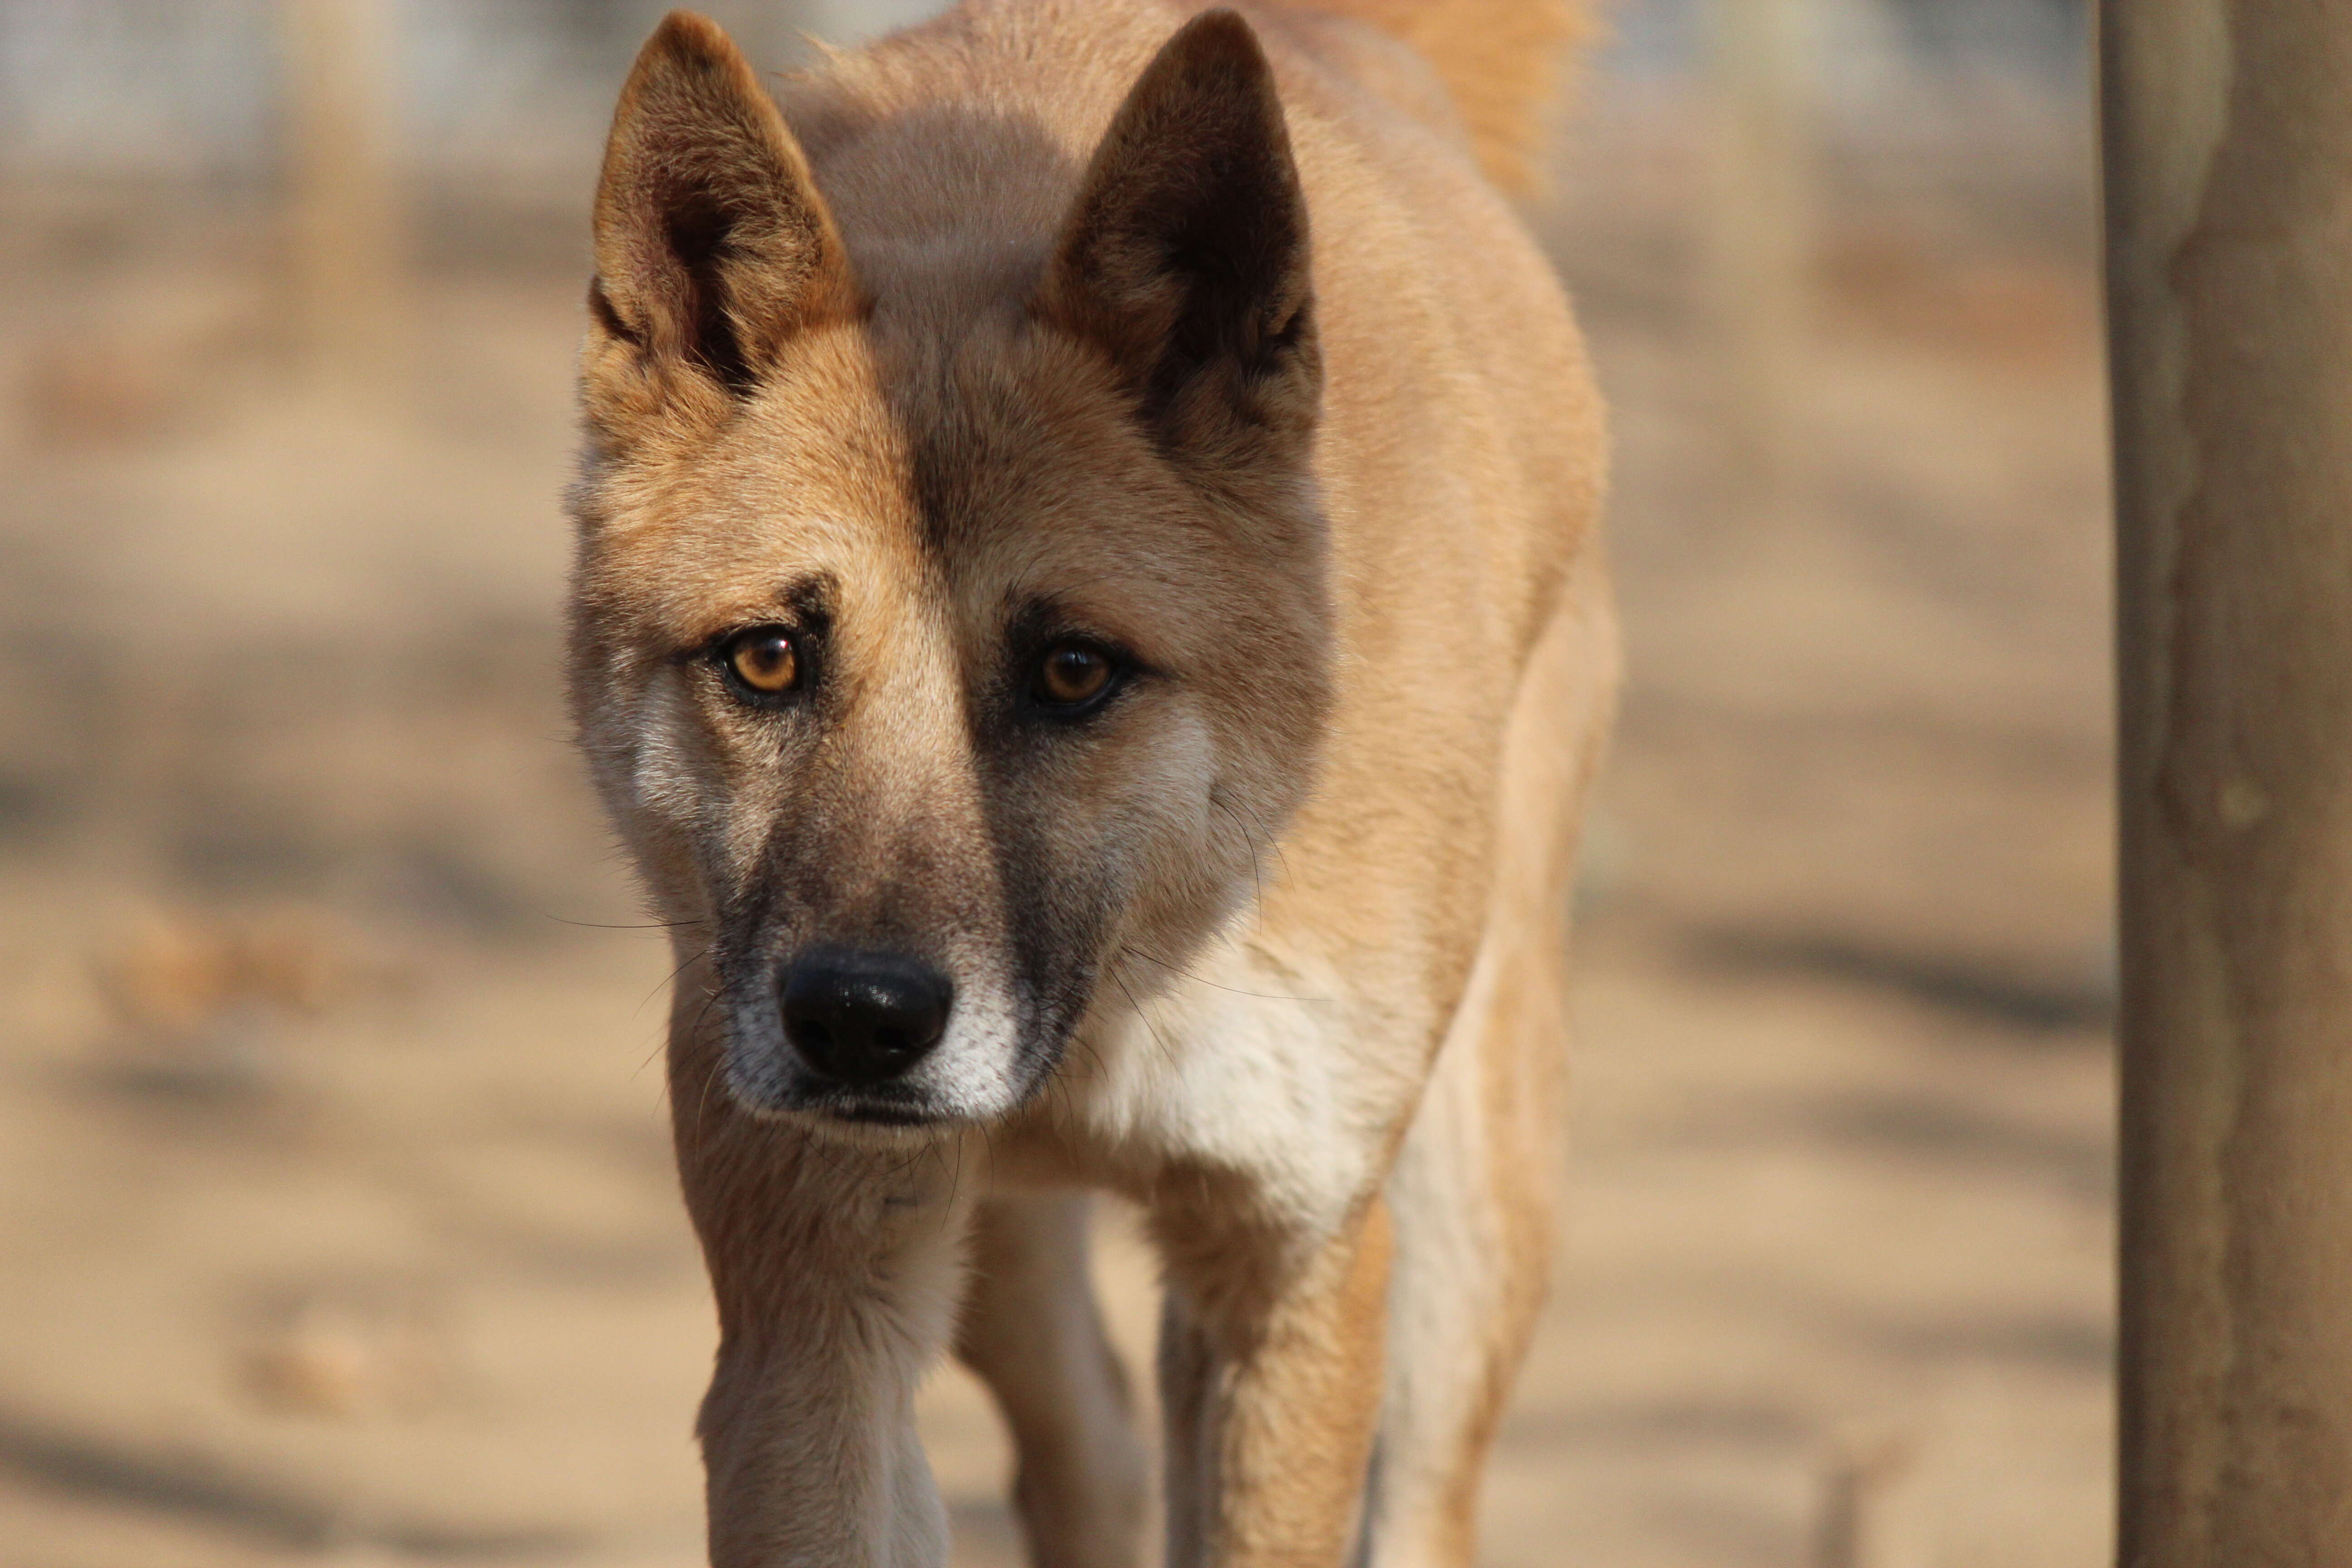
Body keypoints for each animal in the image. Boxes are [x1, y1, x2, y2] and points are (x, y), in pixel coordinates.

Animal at [564, 6, 1618, 1561]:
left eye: (1073, 671)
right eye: (766, 659)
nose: (858, 1021)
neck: (1130, 1001)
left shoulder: (1288, 1269)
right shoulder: (814, 1315)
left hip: (1466, 1232)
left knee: (1422, 1496)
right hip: (996, 1272)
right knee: (1094, 1445)